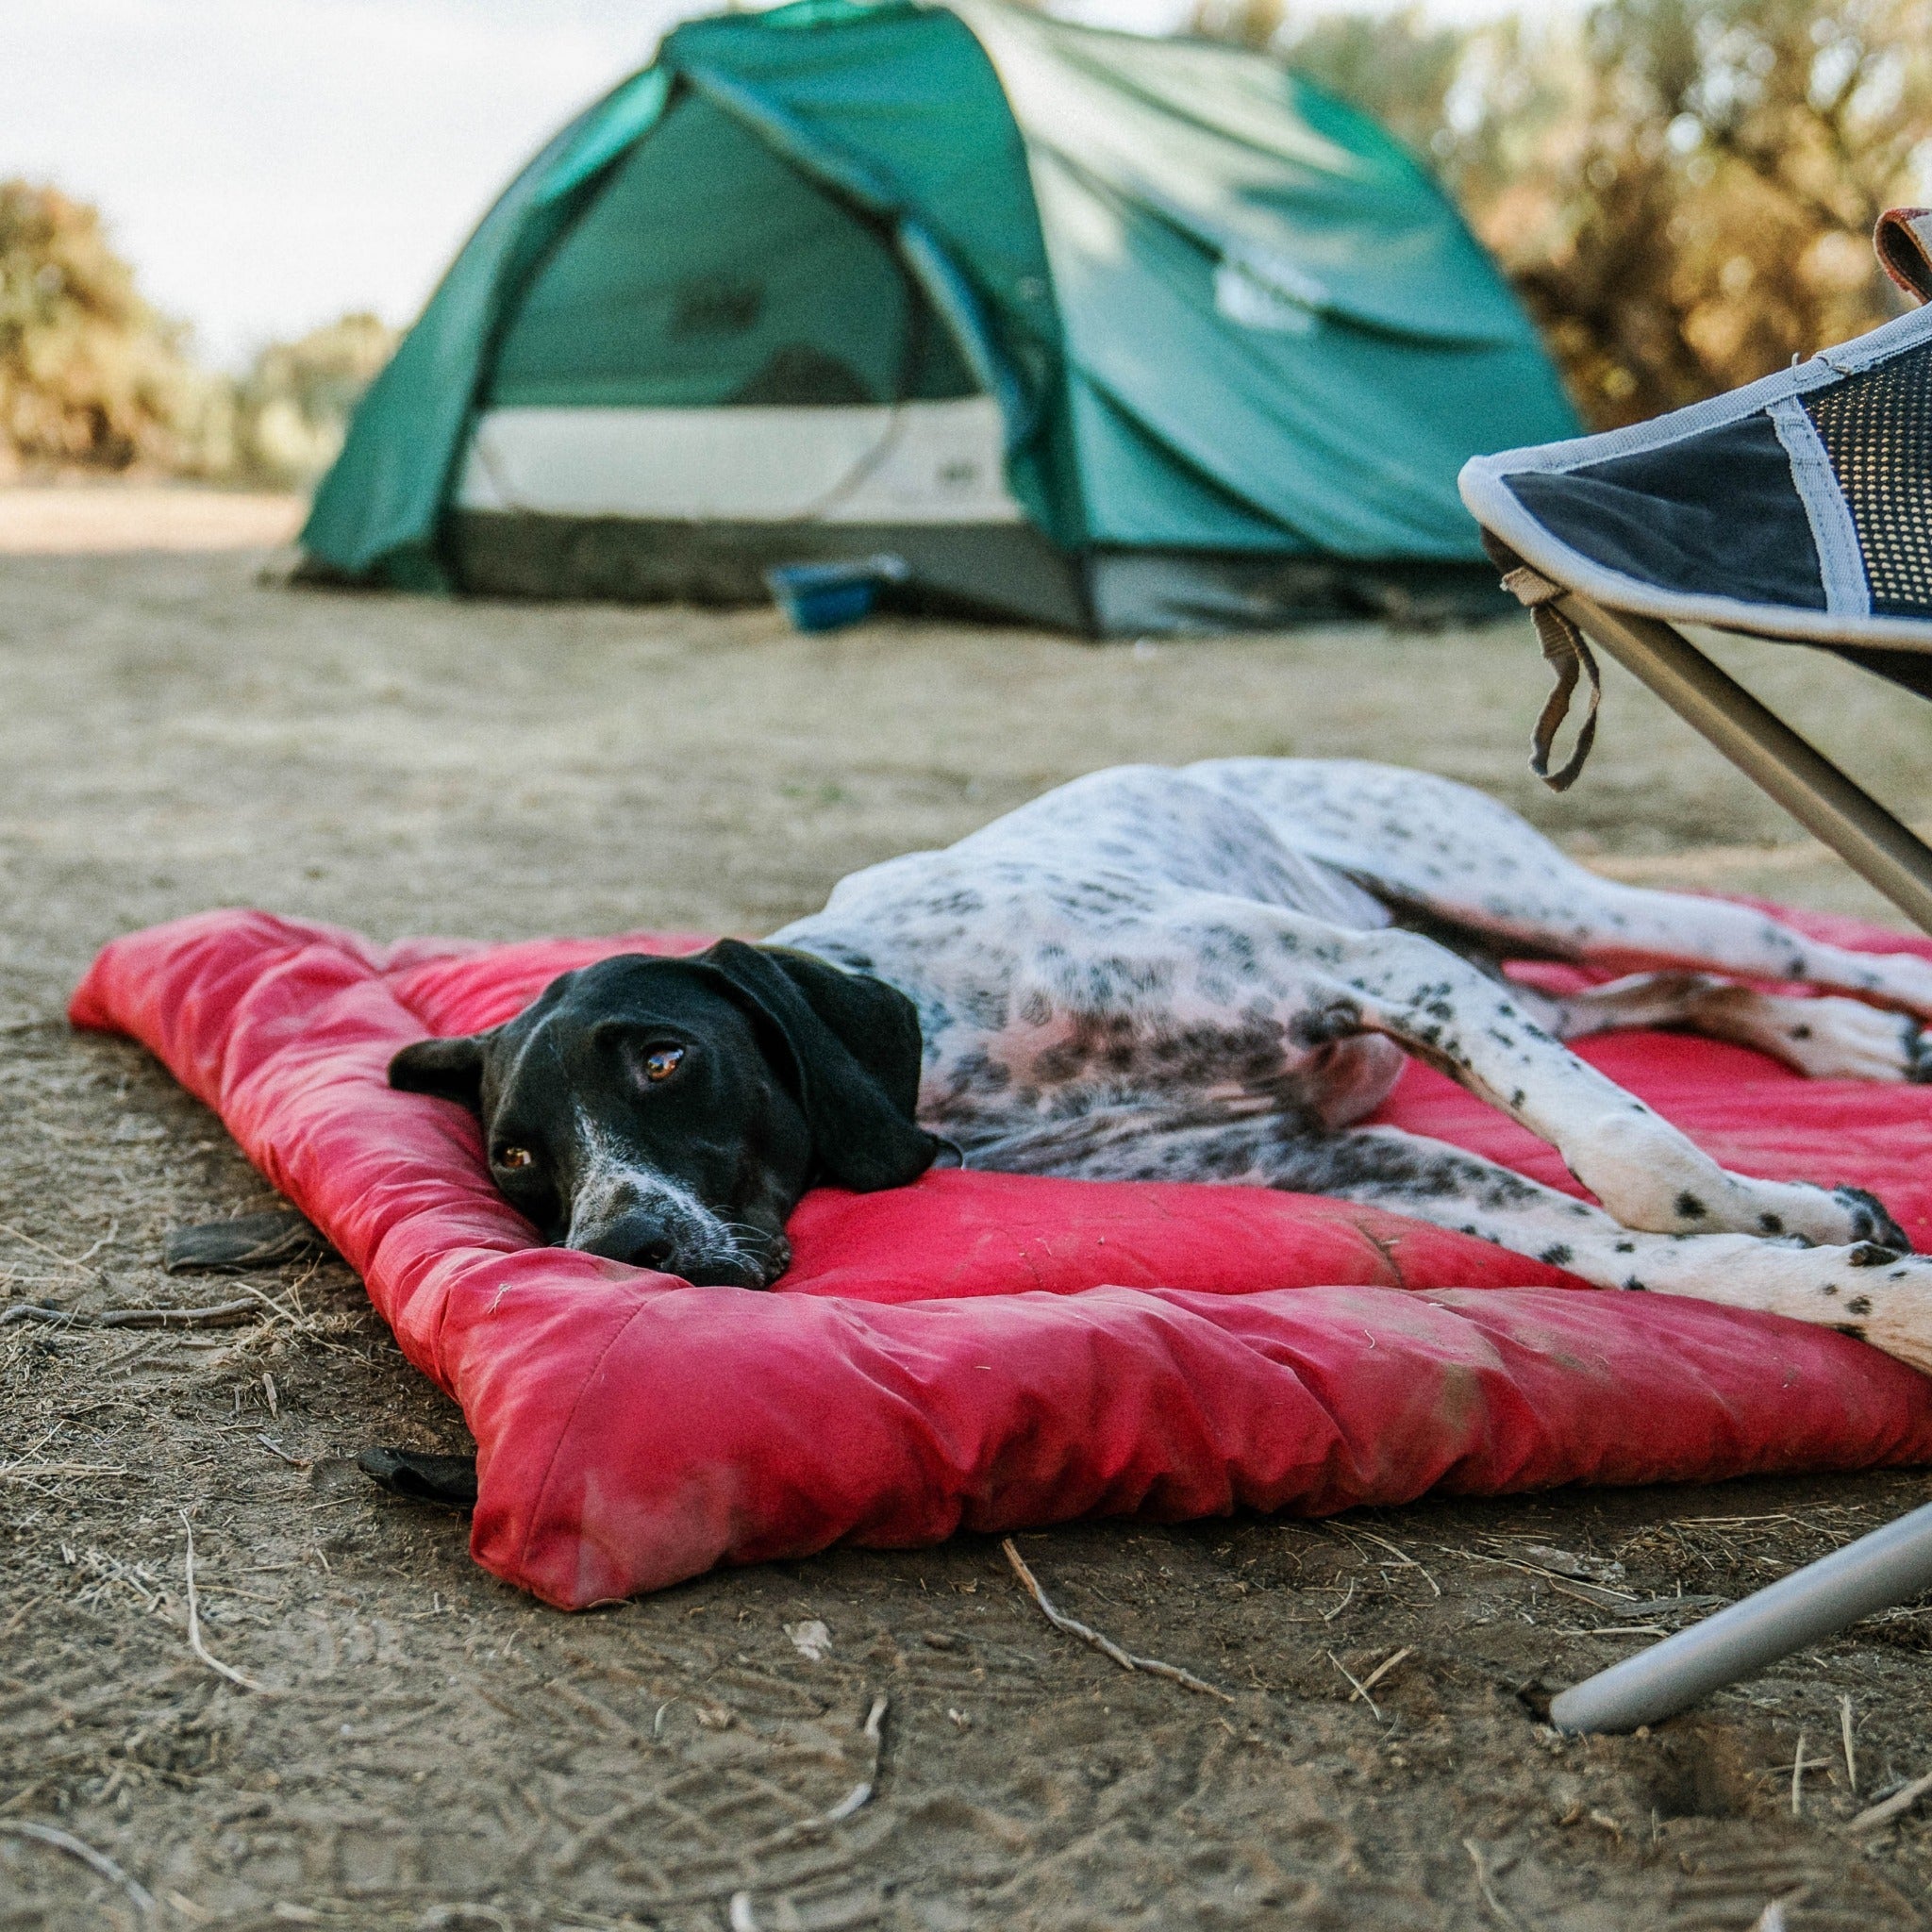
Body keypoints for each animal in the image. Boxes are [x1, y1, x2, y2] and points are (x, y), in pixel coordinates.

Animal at [388, 753, 1932, 1375]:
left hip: (1516, 902)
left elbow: (1644, 1165)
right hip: (1507, 973)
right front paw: (1866, 1288)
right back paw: (1853, 1053)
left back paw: (1893, 1009)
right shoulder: (1357, 1157)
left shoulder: (1377, 975)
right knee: (1675, 994)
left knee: (1756, 938)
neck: (955, 1038)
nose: (622, 1248)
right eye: (517, 1156)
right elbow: (1630, 1253)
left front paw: (1795, 1210)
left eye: (662, 1058)